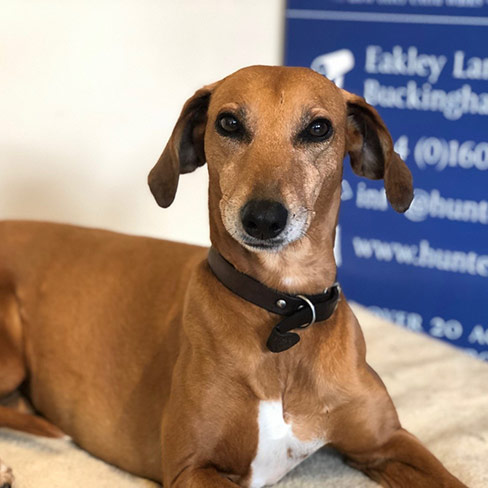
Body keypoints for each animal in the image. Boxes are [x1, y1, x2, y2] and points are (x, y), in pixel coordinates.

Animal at [0, 66, 466, 488]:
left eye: (319, 128)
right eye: (228, 123)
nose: (263, 219)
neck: (285, 311)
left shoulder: (387, 443)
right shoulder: (193, 467)